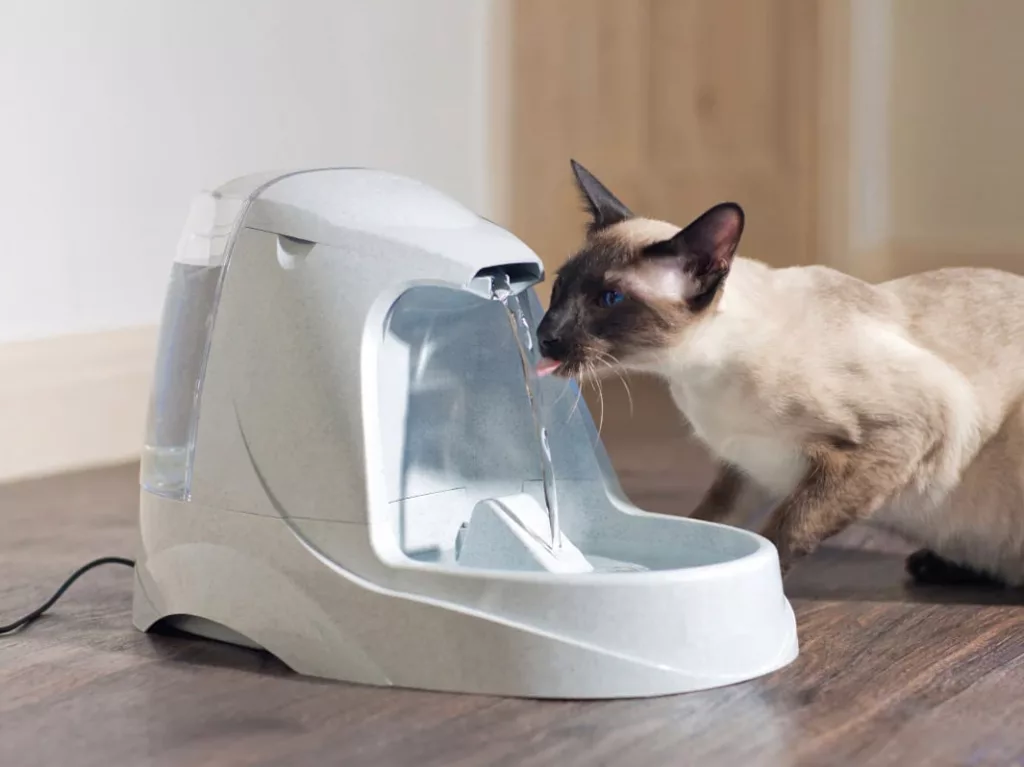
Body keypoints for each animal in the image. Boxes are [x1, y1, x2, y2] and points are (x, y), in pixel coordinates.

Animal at [536, 158, 1024, 581]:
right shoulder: (749, 467)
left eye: (609, 299)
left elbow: (785, 532)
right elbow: (714, 522)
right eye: (559, 286)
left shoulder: (898, 434)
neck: (696, 377)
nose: (545, 334)